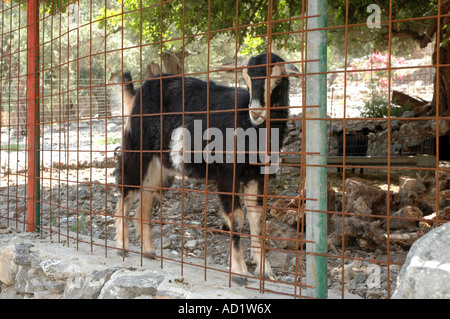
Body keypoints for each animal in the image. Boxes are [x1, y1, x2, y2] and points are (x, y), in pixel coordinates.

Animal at [115, 52, 298, 284]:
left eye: (278, 79)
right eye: (245, 79)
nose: (256, 112)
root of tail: (137, 93)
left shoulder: (256, 175)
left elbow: (257, 218)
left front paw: (265, 270)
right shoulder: (228, 172)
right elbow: (237, 217)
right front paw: (239, 272)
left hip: (160, 166)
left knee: (145, 199)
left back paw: (149, 250)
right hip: (136, 149)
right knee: (126, 192)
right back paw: (121, 247)